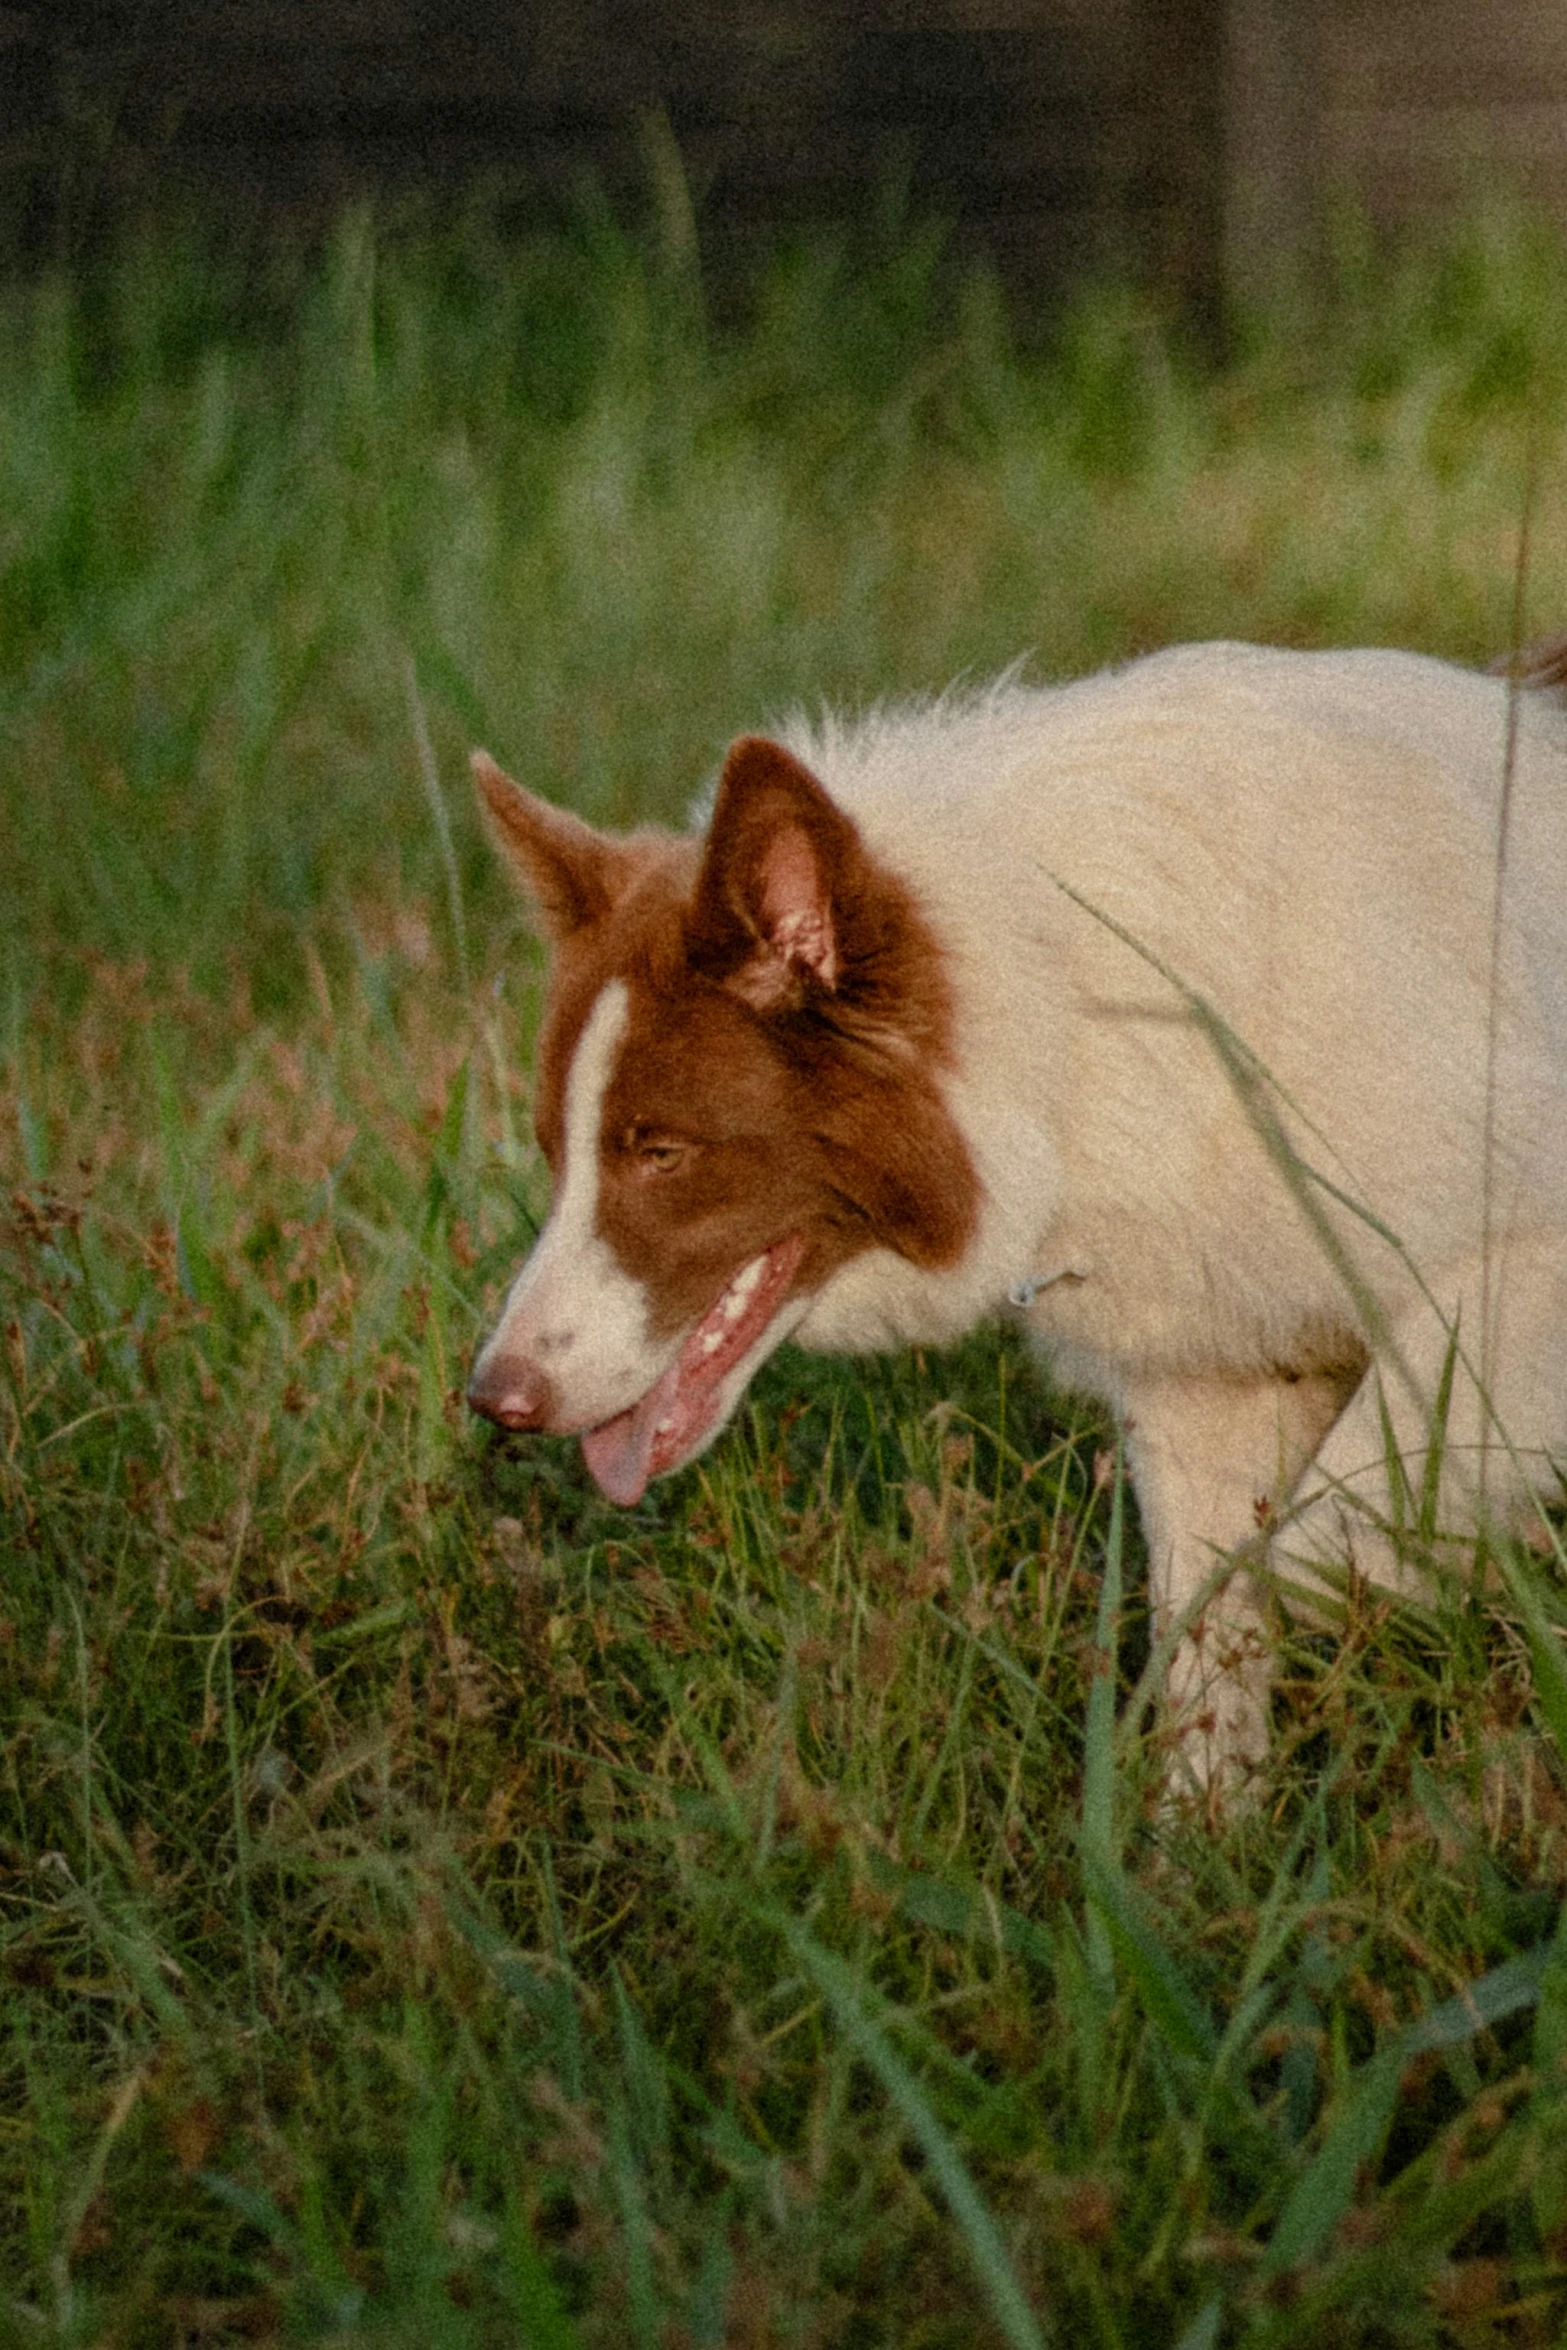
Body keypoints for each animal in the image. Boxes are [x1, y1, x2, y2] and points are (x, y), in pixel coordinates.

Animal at [465, 639, 1567, 1776]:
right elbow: (1210, 1640)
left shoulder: (1521, 1264)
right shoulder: (1211, 1368)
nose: (493, 1400)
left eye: (660, 1154)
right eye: (557, 1152)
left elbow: (1311, 1551)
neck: (1084, 1010)